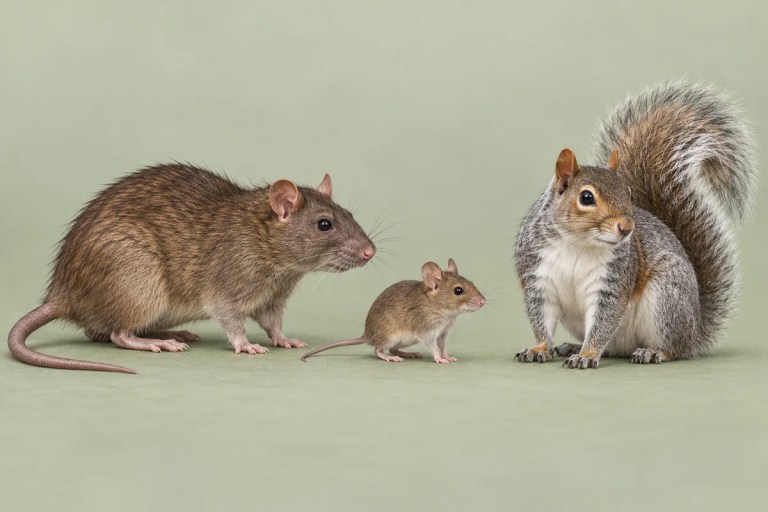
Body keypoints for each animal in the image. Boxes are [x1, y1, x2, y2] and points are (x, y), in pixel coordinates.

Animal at [514, 81, 757, 369]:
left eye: (628, 193)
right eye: (586, 197)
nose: (627, 227)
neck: (578, 243)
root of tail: (696, 329)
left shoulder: (613, 282)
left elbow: (603, 323)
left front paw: (587, 355)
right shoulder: (538, 277)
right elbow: (541, 320)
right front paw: (539, 349)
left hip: (667, 298)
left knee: (674, 347)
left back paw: (652, 352)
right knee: (613, 348)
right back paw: (572, 346)